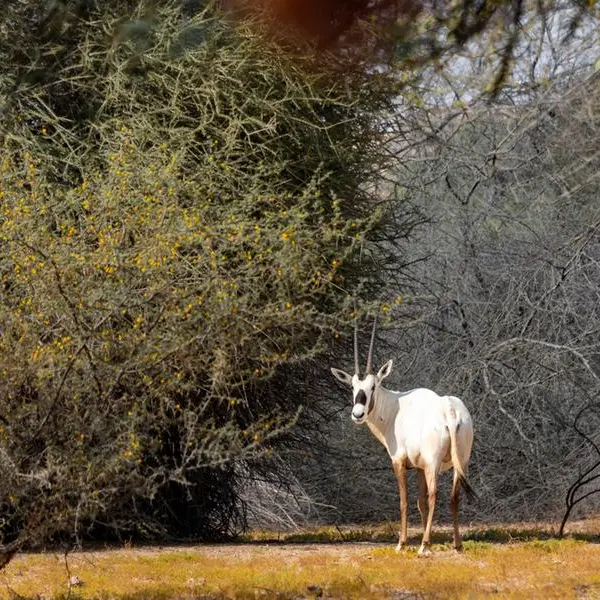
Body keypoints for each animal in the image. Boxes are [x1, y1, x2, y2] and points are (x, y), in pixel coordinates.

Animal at [328, 318, 474, 556]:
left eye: (373, 386)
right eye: (352, 386)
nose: (357, 414)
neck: (393, 408)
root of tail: (450, 411)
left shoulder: (399, 462)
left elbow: (404, 501)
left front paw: (403, 543)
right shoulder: (420, 468)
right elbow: (420, 503)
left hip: (434, 463)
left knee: (435, 495)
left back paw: (423, 546)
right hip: (461, 461)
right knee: (454, 497)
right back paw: (457, 544)